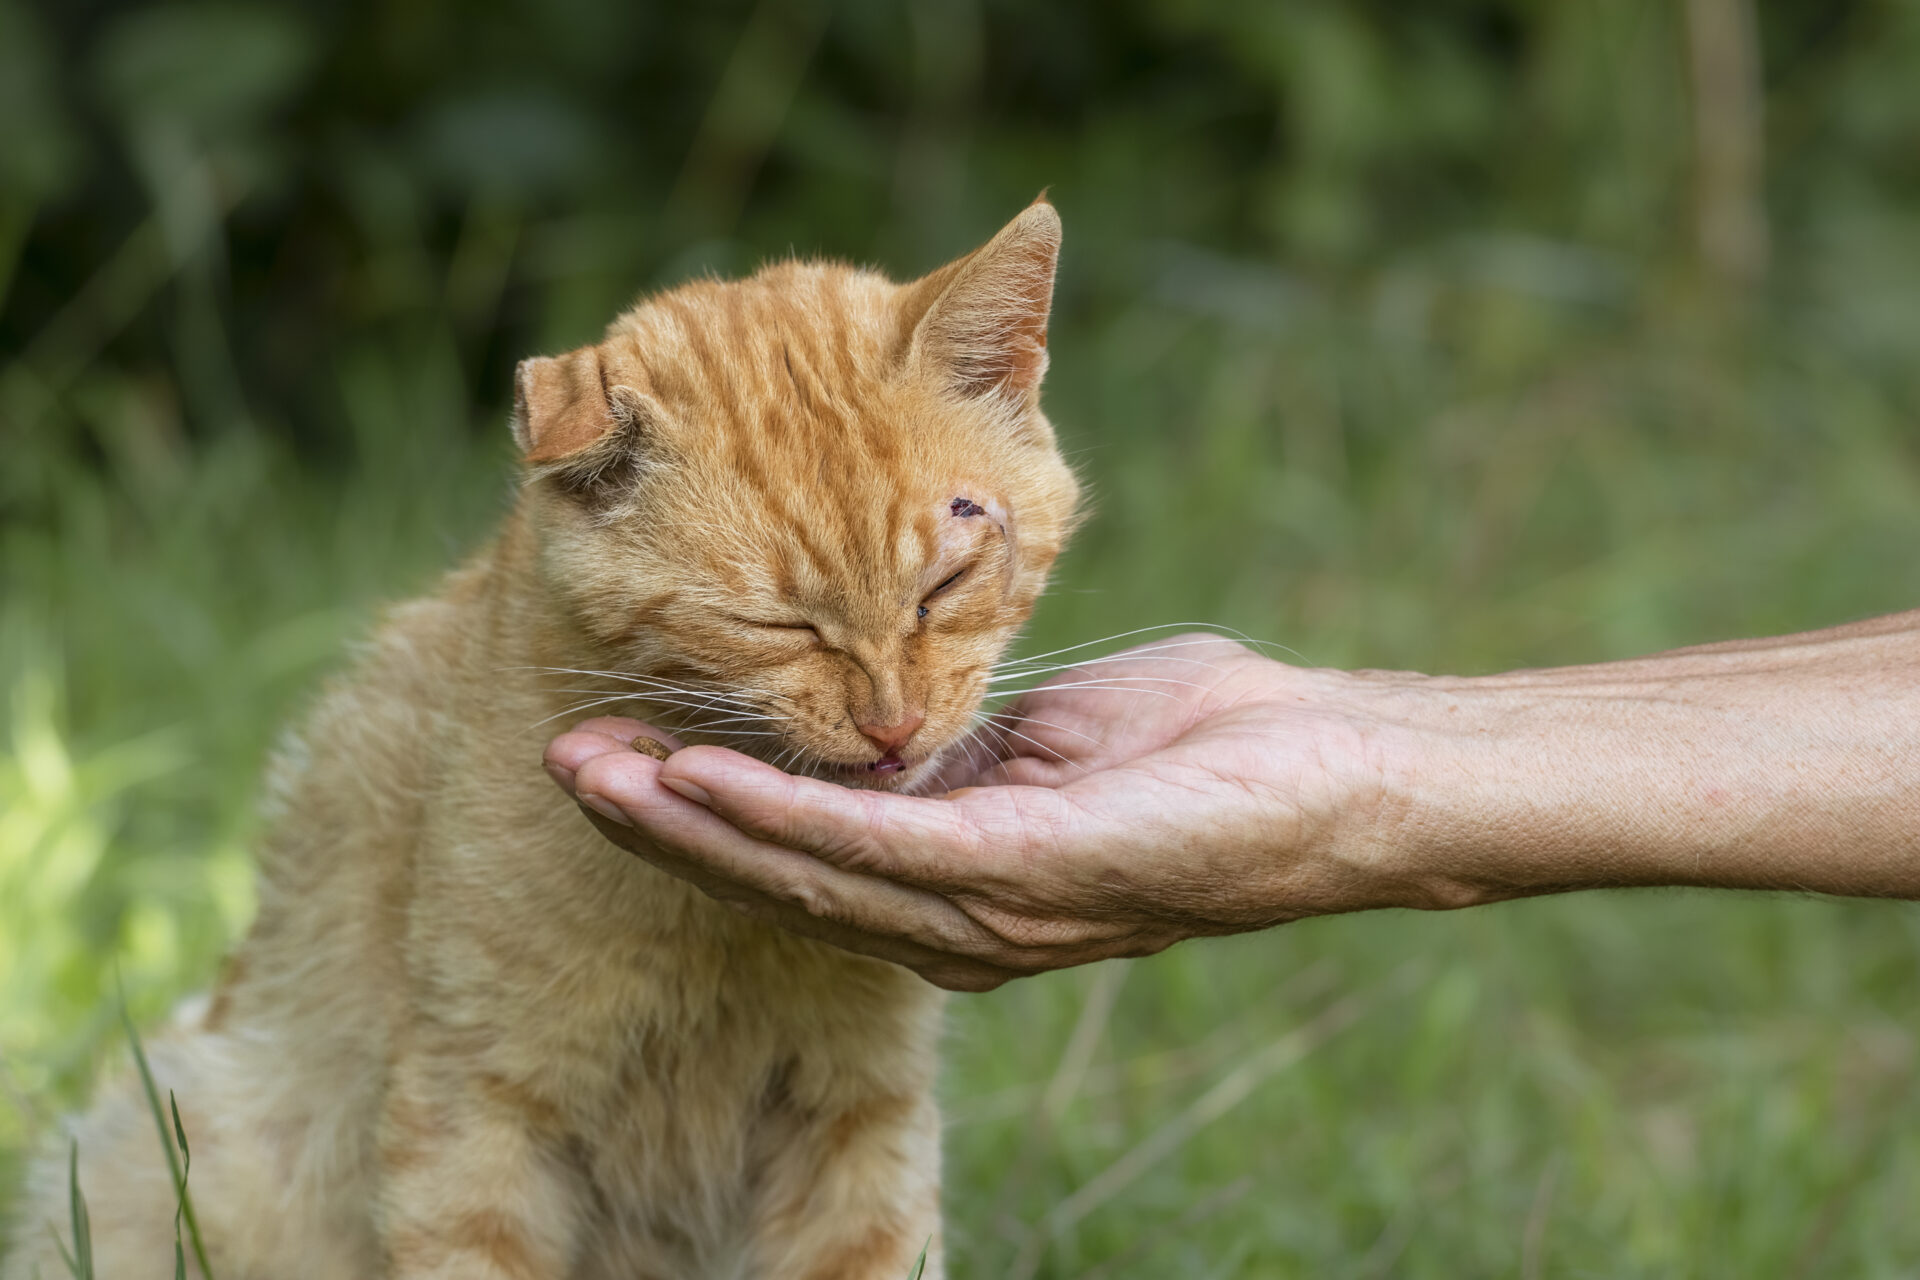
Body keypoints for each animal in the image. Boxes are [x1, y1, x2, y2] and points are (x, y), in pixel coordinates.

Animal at [3, 202, 1082, 1280]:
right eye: (777, 625)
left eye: (944, 584)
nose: (893, 723)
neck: (716, 930)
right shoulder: (474, 1111)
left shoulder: (862, 1118)